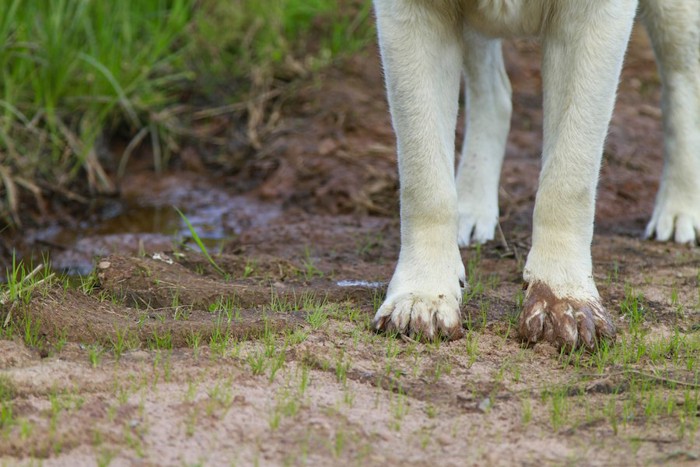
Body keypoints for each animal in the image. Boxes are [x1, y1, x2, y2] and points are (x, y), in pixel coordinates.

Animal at [372, 0, 700, 350]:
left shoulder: (594, 16)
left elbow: (569, 178)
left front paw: (564, 298)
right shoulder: (409, 14)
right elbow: (425, 179)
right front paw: (421, 296)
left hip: (676, 21)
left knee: (682, 84)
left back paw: (680, 210)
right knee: (495, 93)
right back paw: (472, 208)